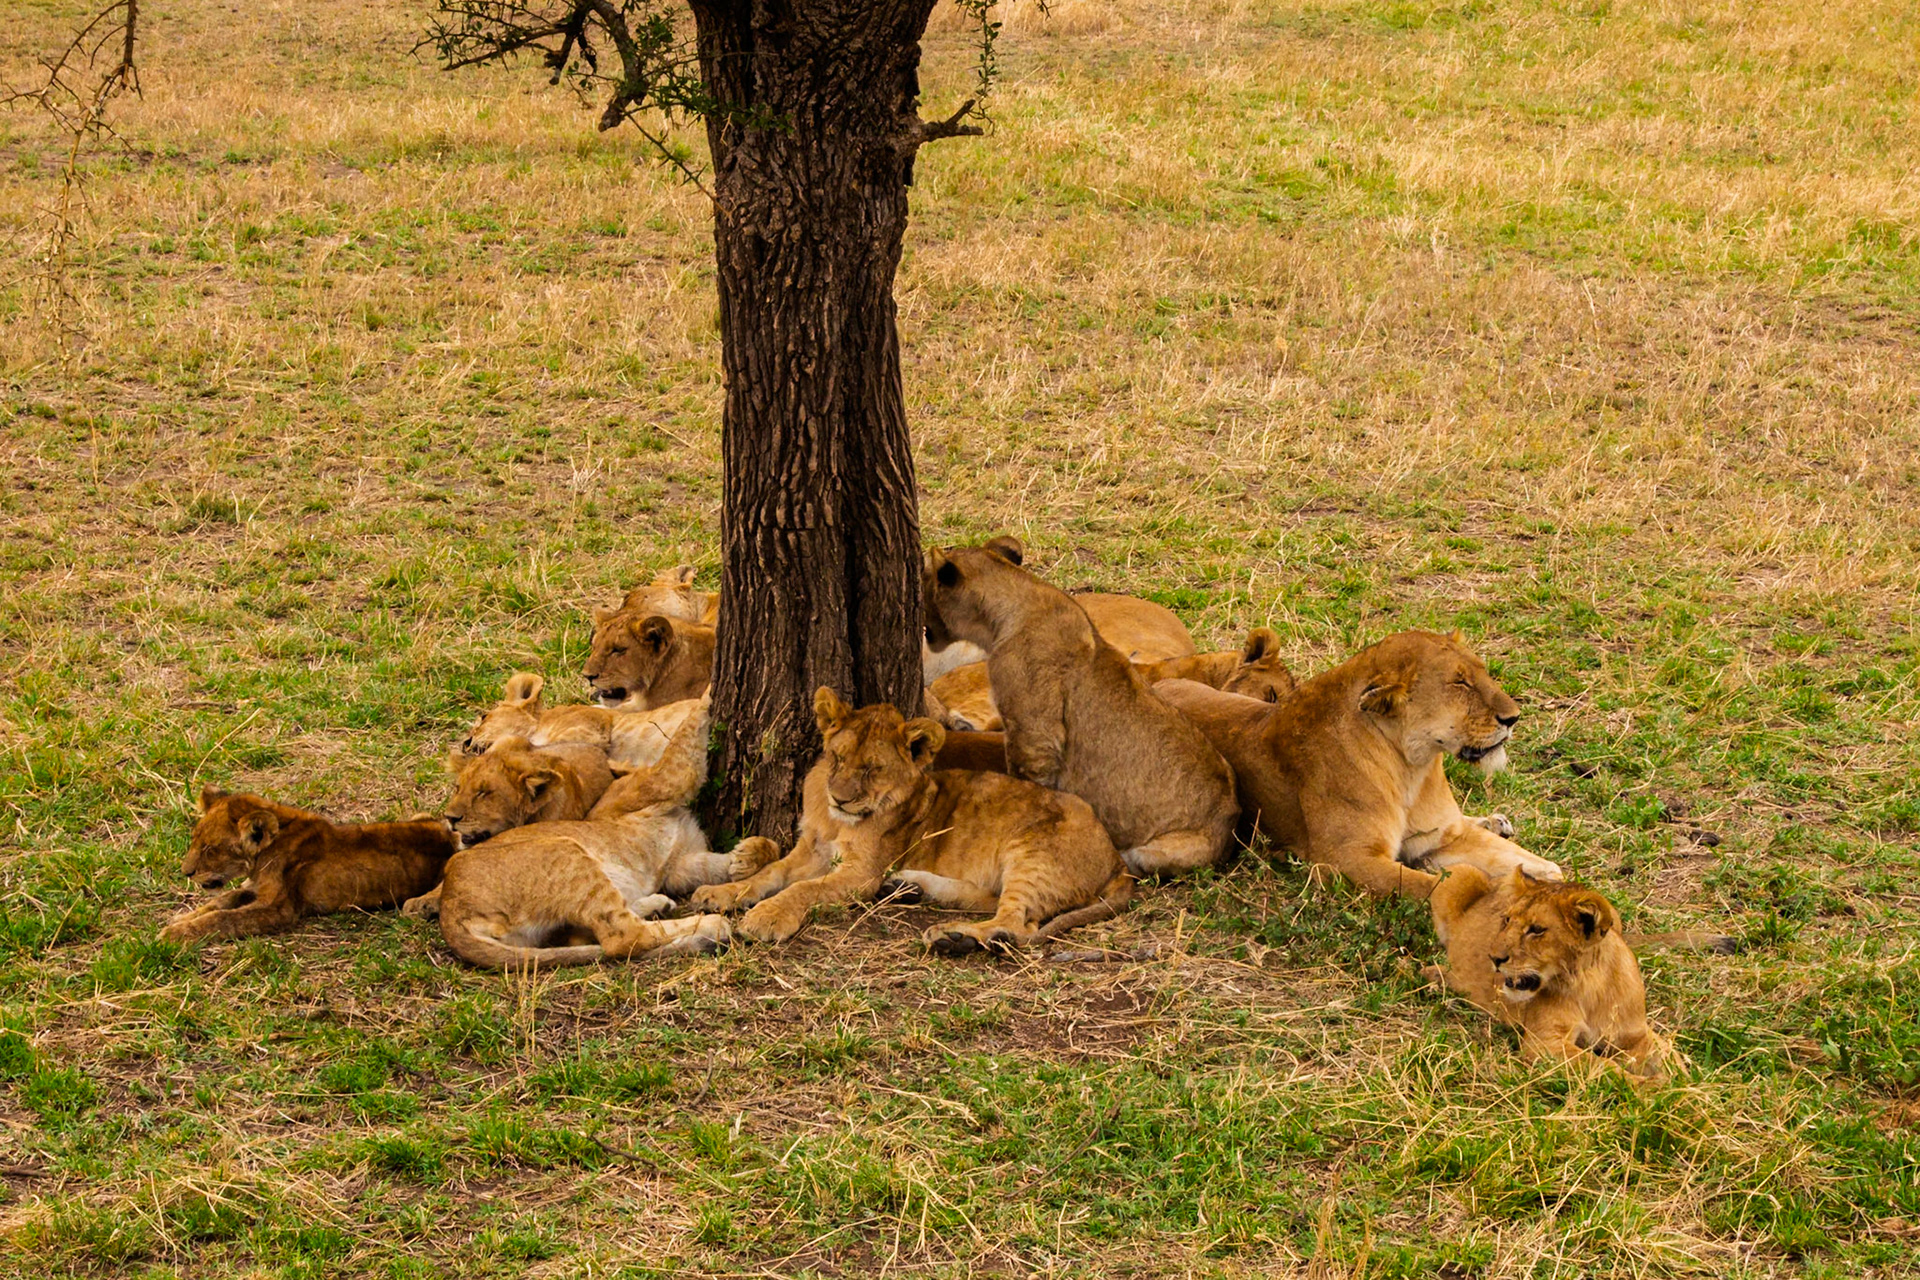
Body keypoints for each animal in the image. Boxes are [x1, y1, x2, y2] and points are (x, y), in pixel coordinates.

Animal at [160, 788, 455, 943]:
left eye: (210, 849)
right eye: (195, 840)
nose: (186, 873)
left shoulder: (279, 909)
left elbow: (223, 917)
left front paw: (174, 933)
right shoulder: (253, 888)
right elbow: (220, 901)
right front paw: (181, 918)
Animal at [689, 689, 1130, 952]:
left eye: (873, 769)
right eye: (837, 758)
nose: (839, 798)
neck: (836, 822)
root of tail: (1117, 858)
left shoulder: (860, 873)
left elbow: (805, 889)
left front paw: (767, 917)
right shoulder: (810, 849)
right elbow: (769, 875)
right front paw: (721, 892)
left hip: (1030, 854)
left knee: (1018, 925)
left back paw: (954, 937)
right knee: (995, 902)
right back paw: (912, 888)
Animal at [1156, 630, 1562, 900]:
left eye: (1483, 672)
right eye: (1460, 683)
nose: (1513, 718)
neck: (1411, 765)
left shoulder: (1441, 838)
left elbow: (1528, 862)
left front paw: (1549, 881)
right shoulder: (1344, 861)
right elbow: (1435, 887)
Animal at [1426, 867, 1670, 1080]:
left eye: (1536, 930)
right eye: (1506, 920)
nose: (1493, 958)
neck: (1592, 987)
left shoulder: (1635, 1033)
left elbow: (1668, 1054)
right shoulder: (1543, 1042)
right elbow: (1600, 1066)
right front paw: (1649, 1087)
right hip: (1457, 873)